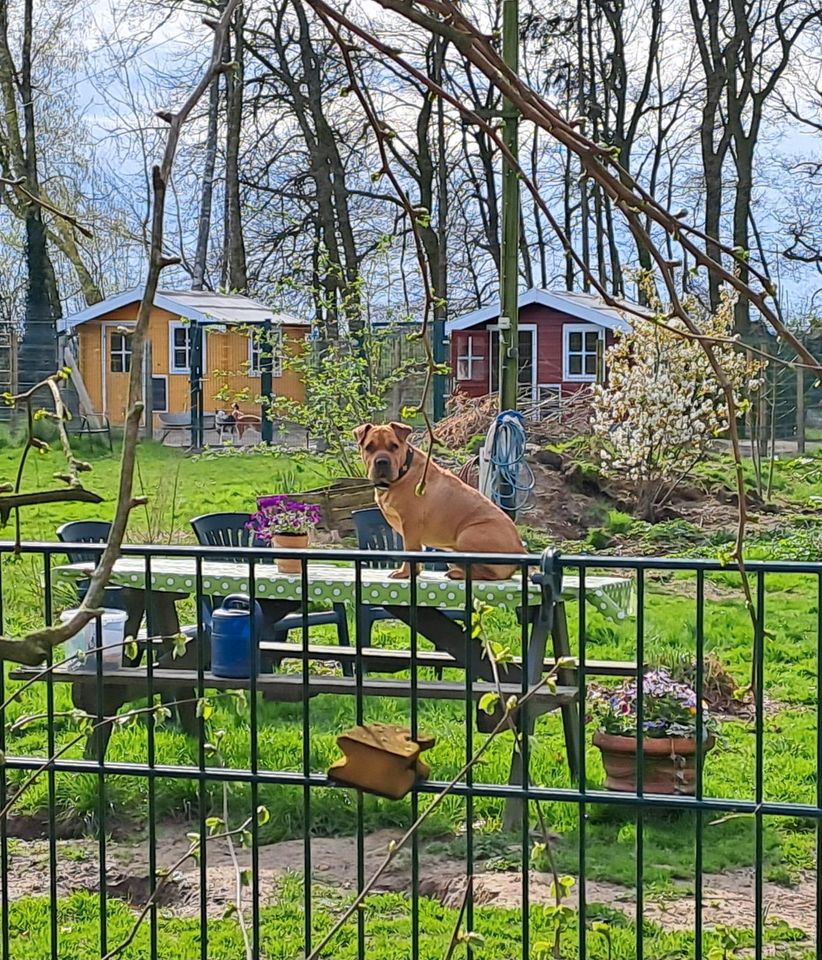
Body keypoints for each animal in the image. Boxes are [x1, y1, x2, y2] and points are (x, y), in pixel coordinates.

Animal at [352, 424, 520, 580]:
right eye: (369, 447)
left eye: (394, 446)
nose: (382, 461)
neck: (403, 472)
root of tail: (520, 550)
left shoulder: (410, 524)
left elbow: (410, 550)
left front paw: (405, 572)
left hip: (466, 536)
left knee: (489, 573)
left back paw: (457, 573)